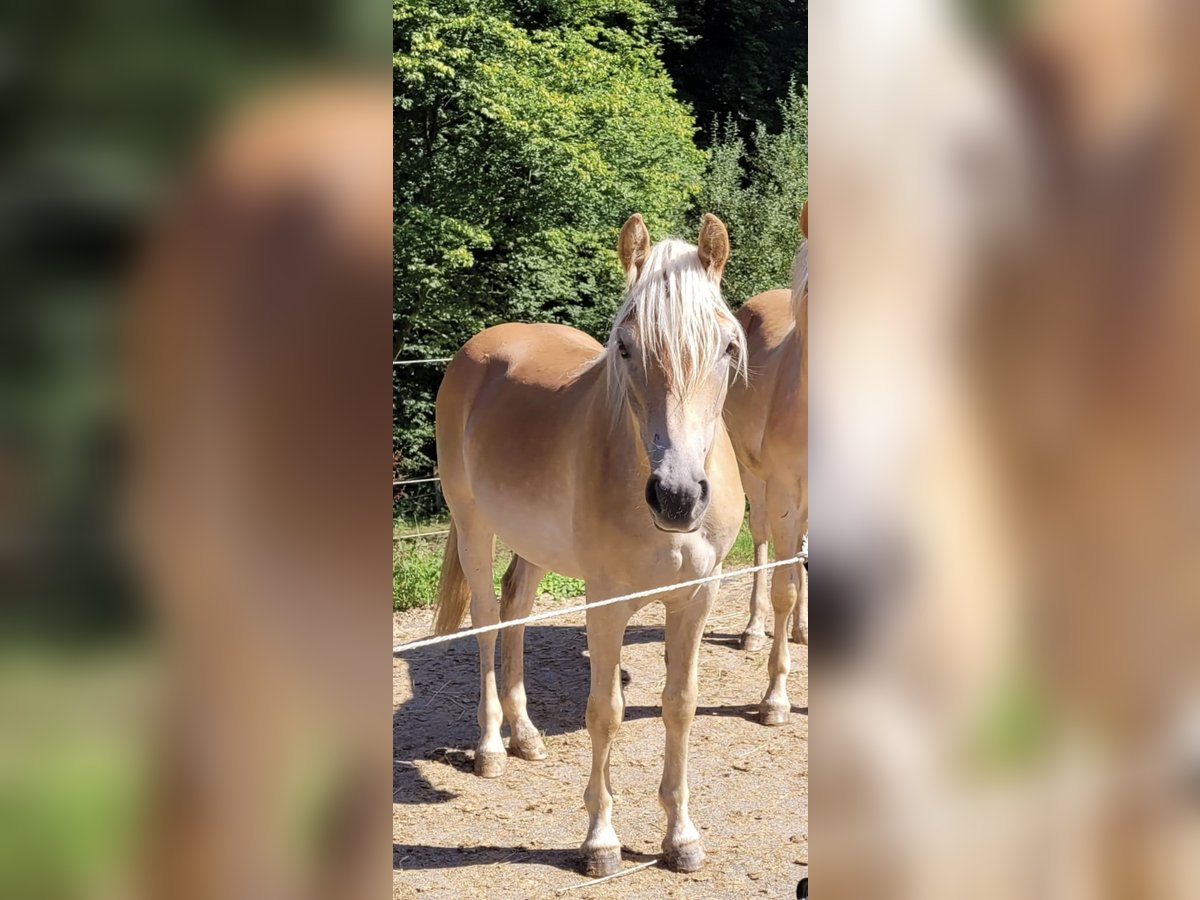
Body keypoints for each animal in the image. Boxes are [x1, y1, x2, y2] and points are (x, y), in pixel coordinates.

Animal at [432, 214, 748, 878]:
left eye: (728, 348)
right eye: (625, 347)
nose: (677, 496)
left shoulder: (696, 598)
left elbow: (680, 704)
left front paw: (681, 837)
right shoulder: (605, 604)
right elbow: (605, 711)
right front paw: (600, 842)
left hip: (531, 545)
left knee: (517, 608)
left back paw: (526, 736)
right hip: (474, 525)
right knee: (488, 619)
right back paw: (492, 747)